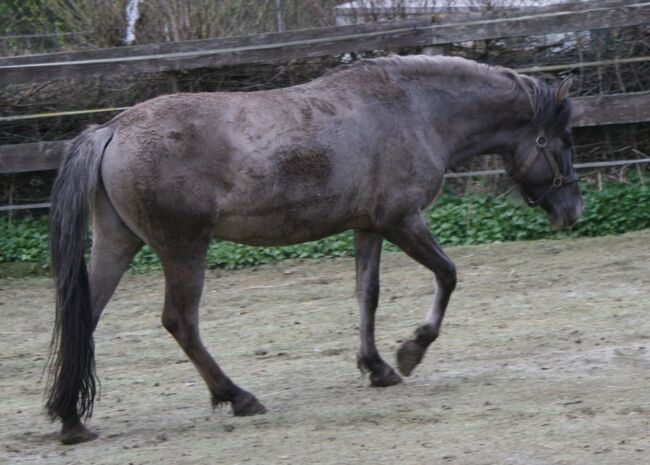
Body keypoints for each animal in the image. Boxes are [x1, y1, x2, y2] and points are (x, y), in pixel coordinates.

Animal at [46, 56, 584, 444]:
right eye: (564, 139)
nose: (573, 209)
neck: (415, 110)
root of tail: (112, 130)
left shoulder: (369, 227)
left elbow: (367, 294)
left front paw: (378, 368)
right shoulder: (403, 221)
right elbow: (448, 274)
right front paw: (412, 350)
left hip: (119, 243)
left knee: (85, 316)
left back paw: (71, 419)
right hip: (184, 249)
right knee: (180, 322)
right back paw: (239, 397)